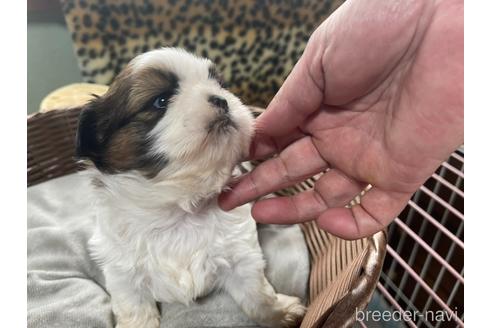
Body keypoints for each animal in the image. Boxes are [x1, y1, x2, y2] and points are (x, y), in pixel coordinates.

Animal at [75, 46, 306, 328]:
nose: (221, 99)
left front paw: (280, 312)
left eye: (220, 84)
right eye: (160, 101)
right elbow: (134, 308)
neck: (178, 208)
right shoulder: (122, 274)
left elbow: (257, 294)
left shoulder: (241, 256)